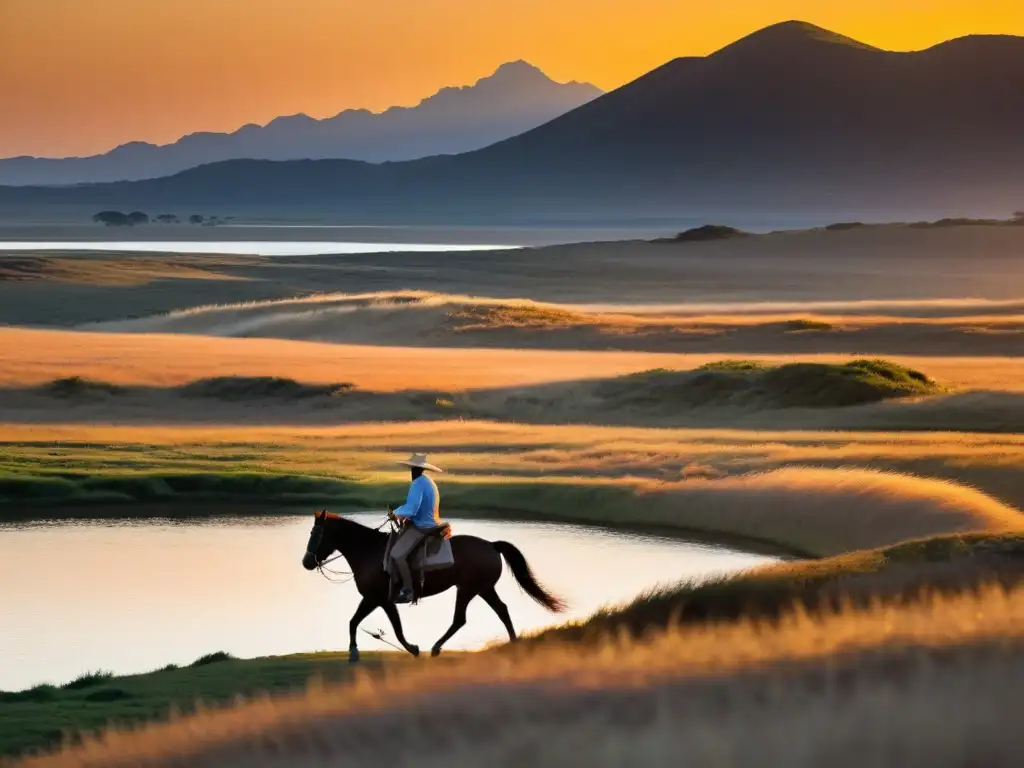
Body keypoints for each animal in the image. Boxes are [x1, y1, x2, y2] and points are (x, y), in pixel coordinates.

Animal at [296, 512, 569, 663]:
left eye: (315, 534)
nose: (306, 562)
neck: (368, 551)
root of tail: (492, 545)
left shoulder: (381, 600)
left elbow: (394, 629)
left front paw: (412, 649)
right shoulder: (374, 599)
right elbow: (354, 621)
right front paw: (354, 653)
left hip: (467, 589)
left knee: (461, 619)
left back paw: (437, 647)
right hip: (482, 589)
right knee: (501, 610)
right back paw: (513, 643)